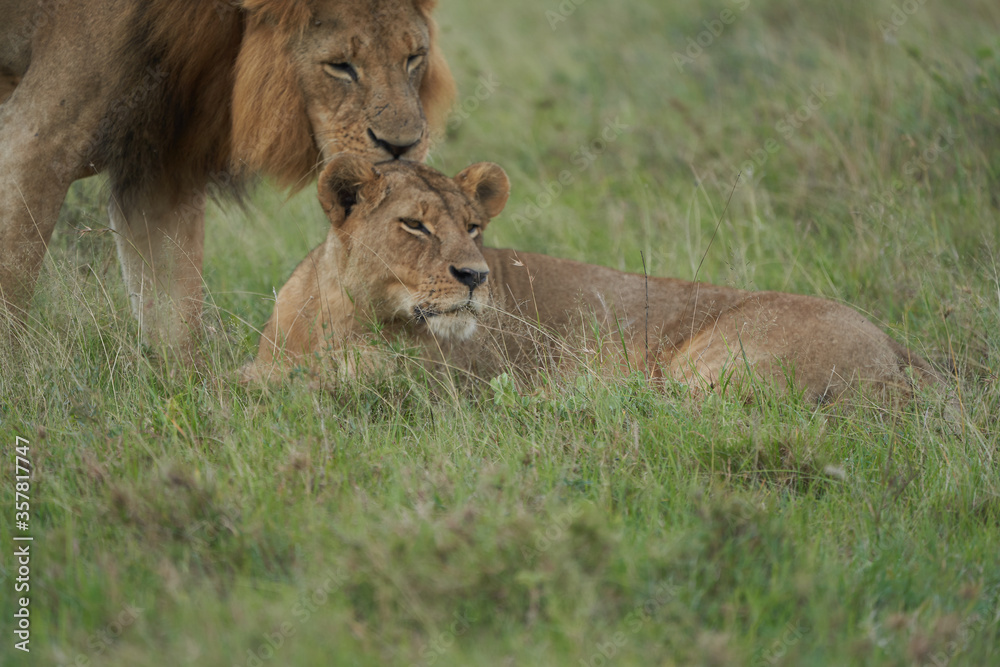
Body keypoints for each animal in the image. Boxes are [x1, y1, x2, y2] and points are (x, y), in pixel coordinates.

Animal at [0, 0, 454, 356]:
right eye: (340, 66)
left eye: (414, 58)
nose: (403, 146)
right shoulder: (37, 141)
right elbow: (11, 282)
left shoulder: (159, 171)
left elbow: (175, 317)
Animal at [246, 154, 943, 404]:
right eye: (414, 226)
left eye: (473, 227)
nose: (475, 275)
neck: (347, 316)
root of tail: (900, 347)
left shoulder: (429, 389)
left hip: (723, 365)